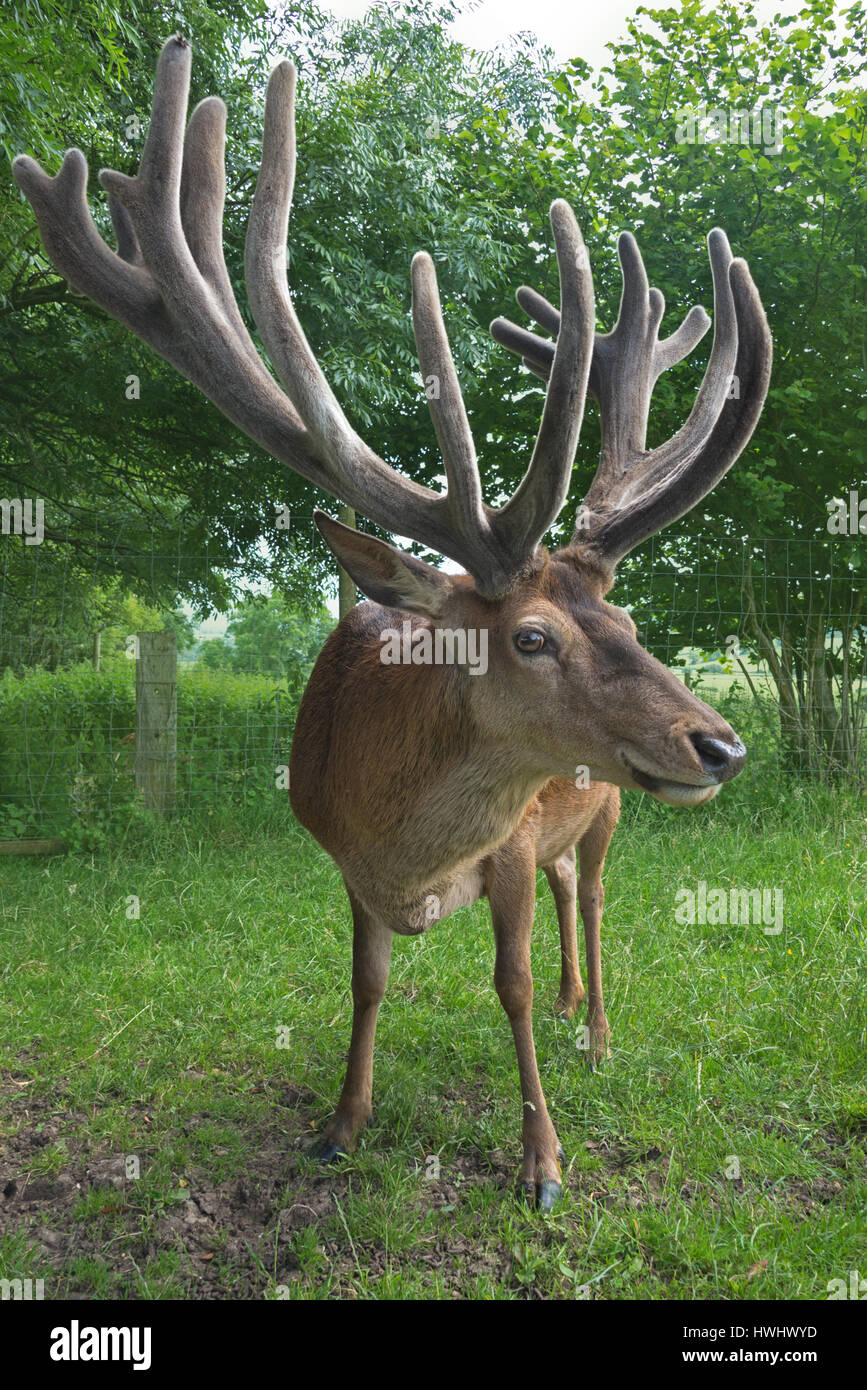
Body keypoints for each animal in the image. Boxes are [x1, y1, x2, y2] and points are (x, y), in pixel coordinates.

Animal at [13, 32, 772, 1206]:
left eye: (631, 622)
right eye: (532, 637)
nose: (721, 743)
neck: (406, 847)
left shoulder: (511, 840)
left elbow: (506, 984)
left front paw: (543, 1162)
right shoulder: (339, 856)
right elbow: (365, 984)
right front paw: (341, 1121)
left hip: (610, 809)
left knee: (594, 897)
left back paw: (594, 1029)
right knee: (571, 893)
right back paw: (575, 1008)